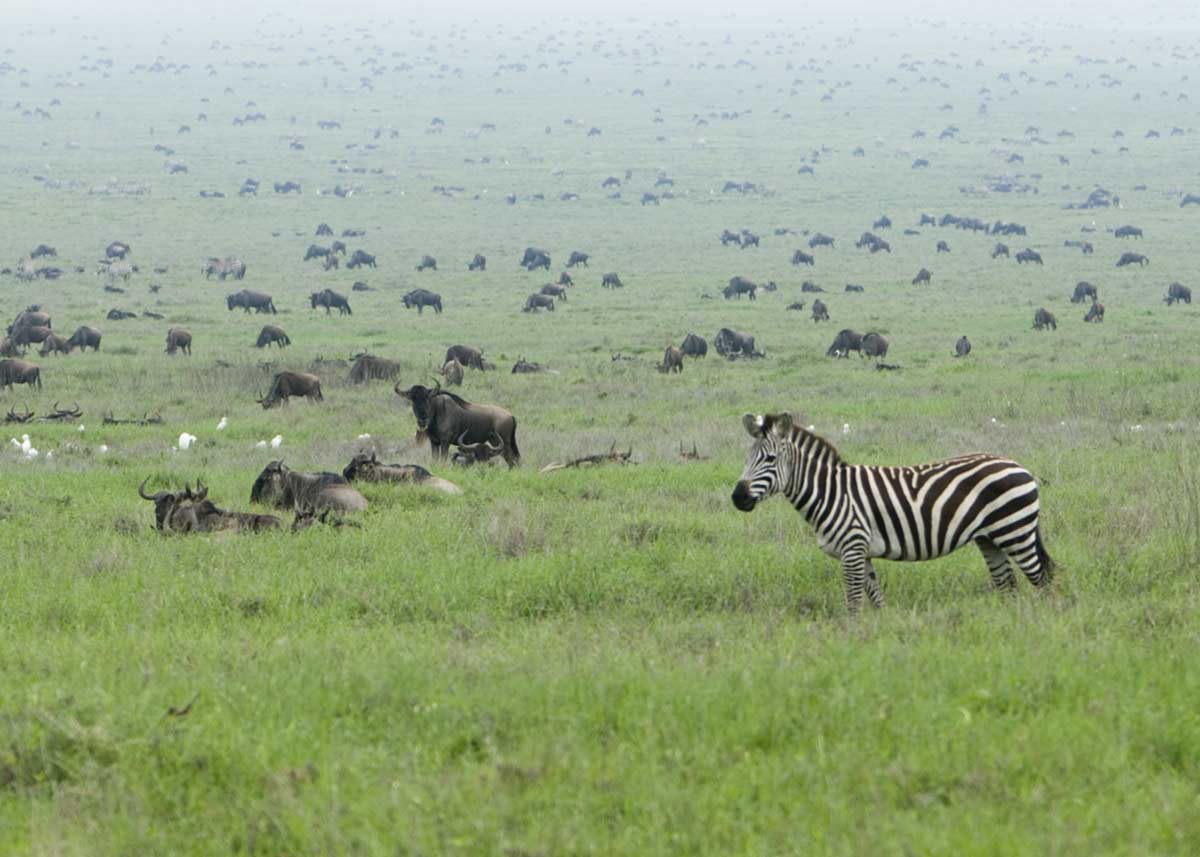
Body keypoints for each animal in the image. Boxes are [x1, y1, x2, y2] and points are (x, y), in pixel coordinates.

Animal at [729, 412, 1051, 607]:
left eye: (770, 459)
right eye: (746, 458)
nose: (737, 498)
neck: (831, 493)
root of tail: (1021, 467)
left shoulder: (852, 548)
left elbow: (853, 602)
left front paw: (851, 638)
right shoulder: (861, 552)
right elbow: (875, 600)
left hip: (1015, 532)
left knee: (1043, 581)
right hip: (990, 539)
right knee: (1008, 585)